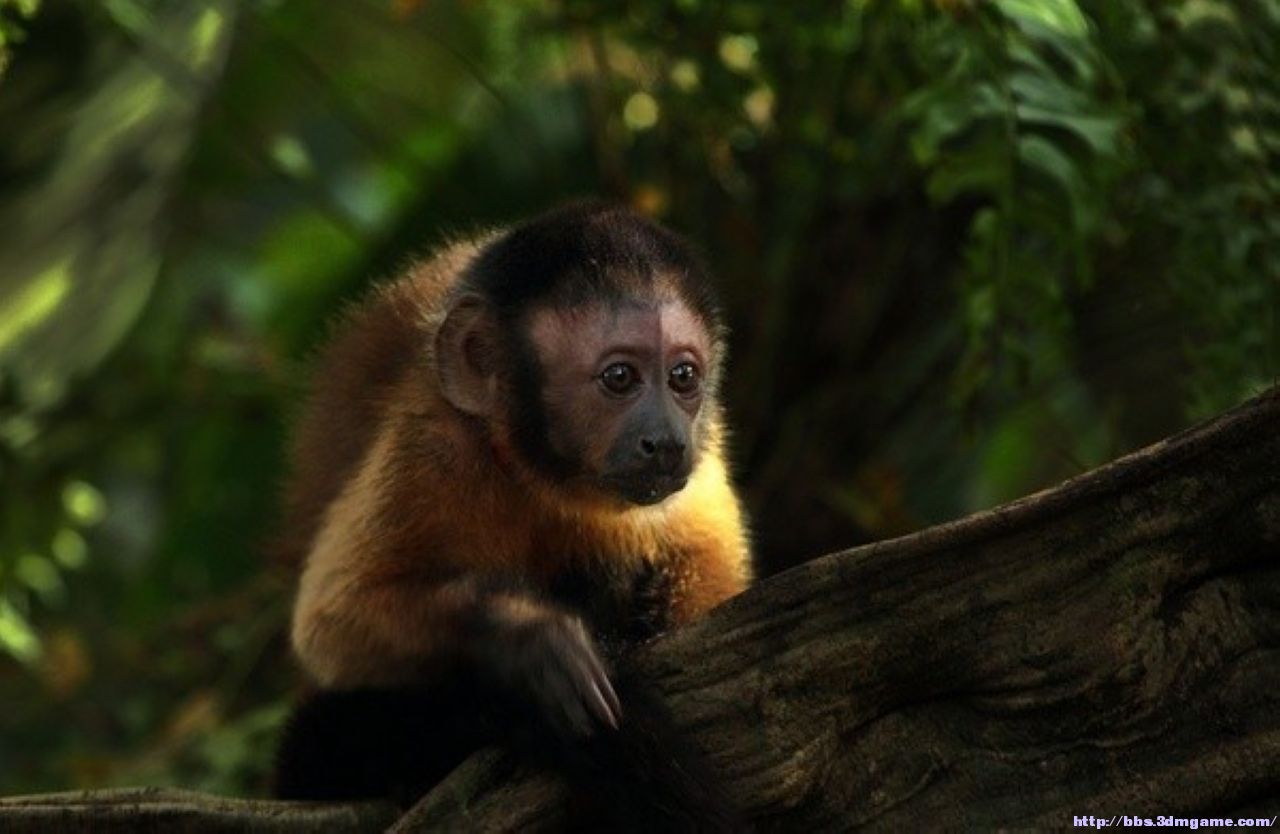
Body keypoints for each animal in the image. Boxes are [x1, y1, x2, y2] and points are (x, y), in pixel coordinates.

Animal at [270, 200, 747, 828]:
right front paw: (528, 638)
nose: (665, 441)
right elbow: (332, 621)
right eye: (619, 378)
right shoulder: (432, 448)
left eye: (682, 377)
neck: (546, 479)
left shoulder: (702, 461)